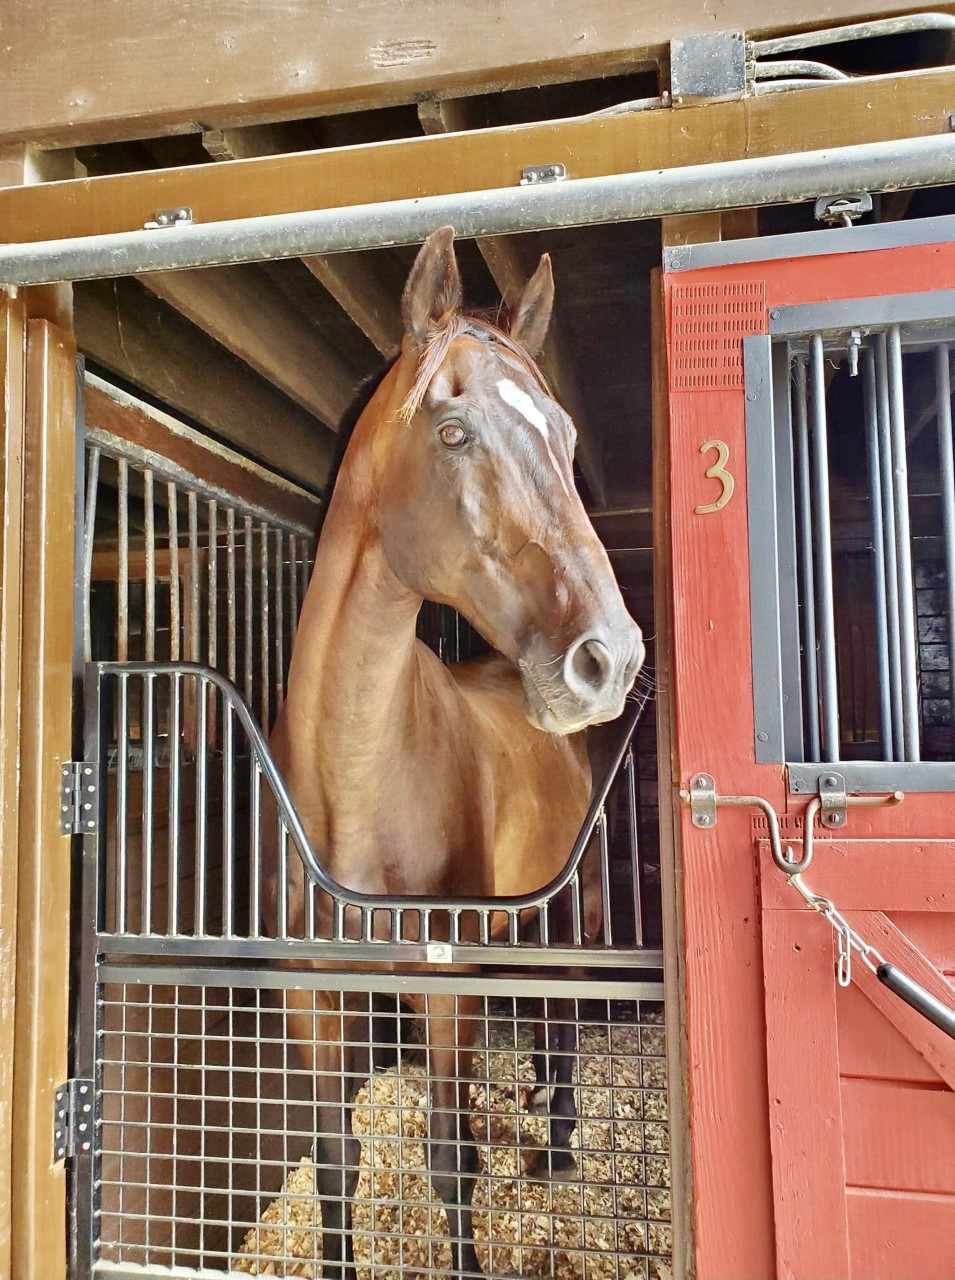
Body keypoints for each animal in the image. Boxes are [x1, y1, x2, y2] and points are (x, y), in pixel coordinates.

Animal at [259, 225, 642, 1274]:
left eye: (565, 440)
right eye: (454, 432)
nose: (610, 658)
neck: (353, 779)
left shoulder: (446, 989)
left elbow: (449, 1160)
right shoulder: (313, 996)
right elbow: (336, 1166)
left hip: (581, 913)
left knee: (563, 1018)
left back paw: (557, 1150)